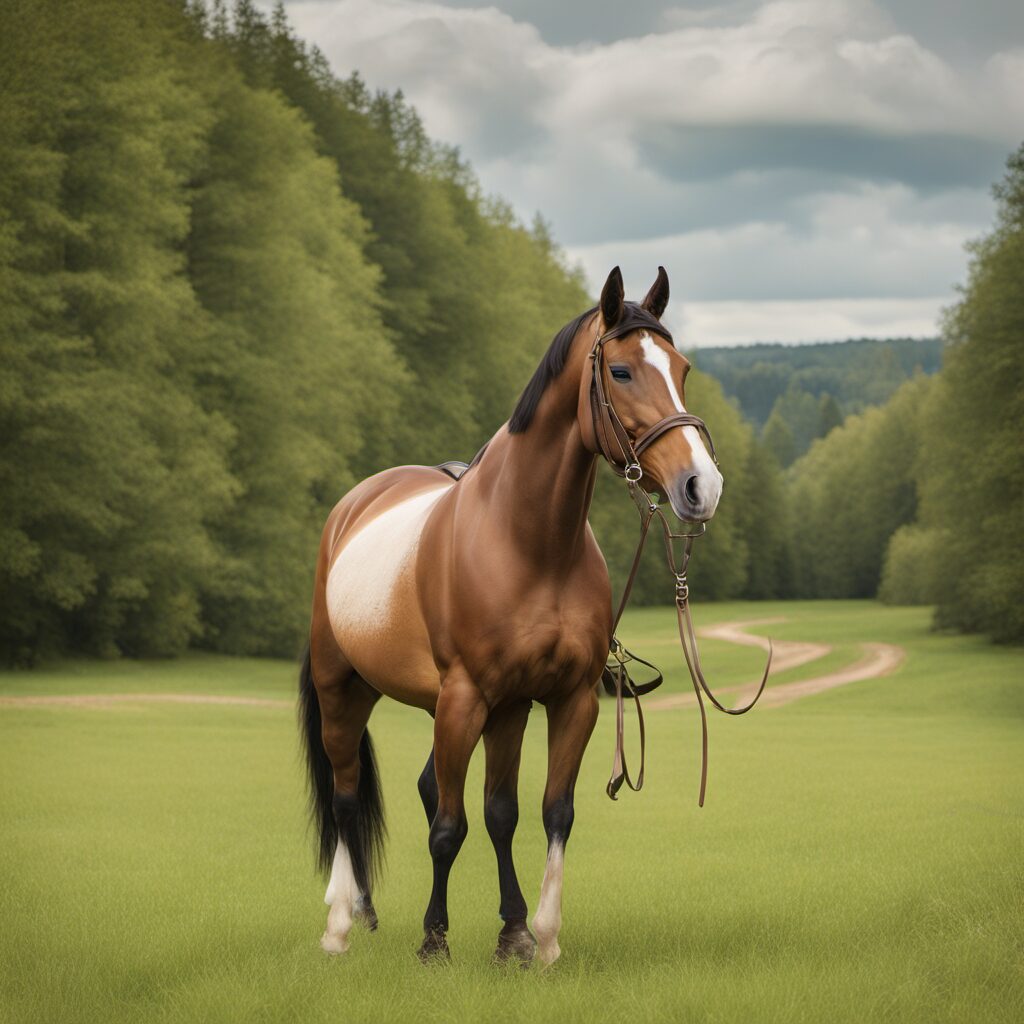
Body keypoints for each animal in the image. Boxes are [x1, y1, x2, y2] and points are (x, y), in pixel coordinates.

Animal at [298, 265, 724, 965]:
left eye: (683, 369)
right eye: (622, 371)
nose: (701, 486)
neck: (527, 543)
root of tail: (352, 507)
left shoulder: (551, 701)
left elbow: (534, 812)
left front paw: (529, 935)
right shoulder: (469, 695)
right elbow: (450, 827)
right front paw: (435, 941)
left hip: (456, 708)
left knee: (430, 790)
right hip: (348, 692)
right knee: (345, 798)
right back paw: (337, 924)